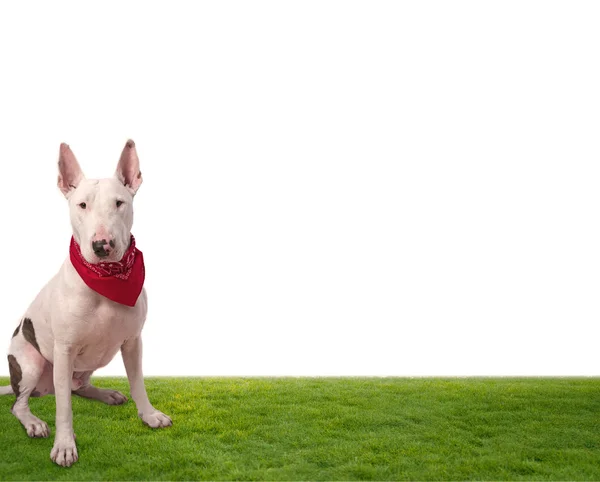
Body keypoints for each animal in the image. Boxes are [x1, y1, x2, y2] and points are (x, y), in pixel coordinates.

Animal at [1, 141, 172, 466]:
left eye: (119, 203)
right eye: (82, 205)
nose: (102, 246)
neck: (106, 279)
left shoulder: (133, 341)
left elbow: (137, 382)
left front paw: (149, 415)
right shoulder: (65, 349)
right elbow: (64, 407)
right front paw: (64, 445)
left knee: (76, 388)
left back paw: (105, 394)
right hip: (31, 364)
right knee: (21, 403)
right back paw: (34, 422)